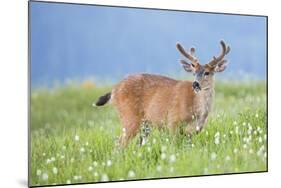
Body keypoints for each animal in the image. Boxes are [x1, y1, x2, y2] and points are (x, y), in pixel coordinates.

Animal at [94, 40, 230, 147]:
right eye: (193, 72)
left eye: (207, 72)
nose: (195, 84)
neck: (197, 111)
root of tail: (114, 90)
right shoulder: (172, 121)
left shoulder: (194, 131)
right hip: (129, 116)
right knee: (119, 144)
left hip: (145, 124)